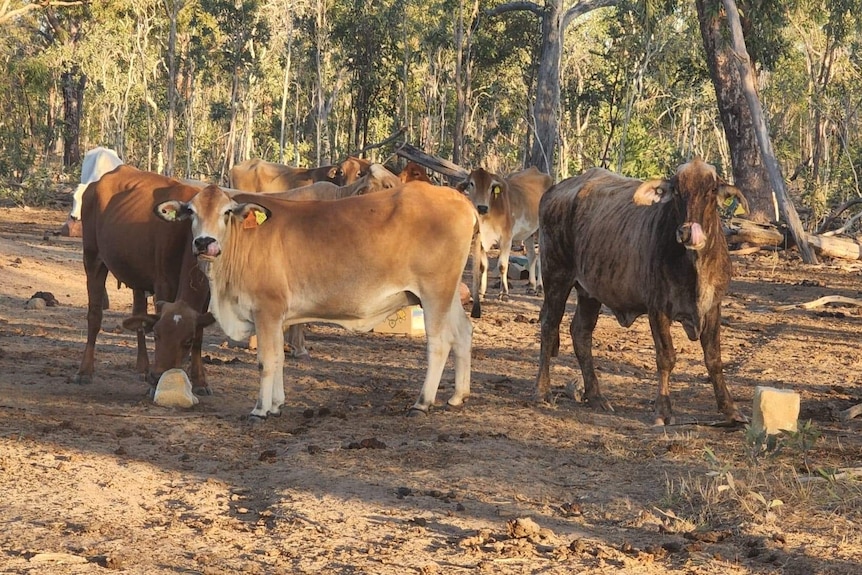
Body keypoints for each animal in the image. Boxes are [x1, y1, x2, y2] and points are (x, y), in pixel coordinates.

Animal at [74, 164, 216, 394]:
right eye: (157, 336)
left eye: (187, 340)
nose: (158, 375)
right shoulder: (164, 283)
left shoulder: (206, 293)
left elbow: (200, 334)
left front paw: (200, 381)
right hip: (93, 257)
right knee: (95, 315)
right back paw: (85, 371)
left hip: (136, 273)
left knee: (138, 314)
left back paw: (142, 367)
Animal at [154, 182, 480, 420]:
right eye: (191, 212)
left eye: (226, 212)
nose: (204, 243)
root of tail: (457, 197)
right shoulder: (278, 316)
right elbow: (279, 357)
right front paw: (277, 404)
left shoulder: (267, 310)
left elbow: (266, 361)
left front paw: (260, 409)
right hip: (448, 294)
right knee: (463, 332)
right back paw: (457, 396)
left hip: (435, 292)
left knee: (439, 343)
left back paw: (422, 402)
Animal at [460, 164, 552, 318]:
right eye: (472, 183)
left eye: (491, 187)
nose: (482, 207)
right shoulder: (481, 240)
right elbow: (483, 266)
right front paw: (481, 292)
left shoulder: (506, 239)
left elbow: (503, 266)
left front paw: (504, 294)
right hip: (528, 233)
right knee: (531, 256)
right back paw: (531, 286)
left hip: (541, 230)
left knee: (540, 257)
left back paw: (539, 288)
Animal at [540, 159, 748, 428]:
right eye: (677, 191)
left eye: (711, 190)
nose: (687, 233)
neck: (695, 267)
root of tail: (555, 191)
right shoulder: (657, 309)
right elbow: (666, 357)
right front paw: (663, 410)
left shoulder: (713, 307)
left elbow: (713, 358)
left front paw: (730, 410)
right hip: (556, 276)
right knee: (549, 325)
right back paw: (542, 391)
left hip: (589, 292)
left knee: (581, 333)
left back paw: (596, 397)